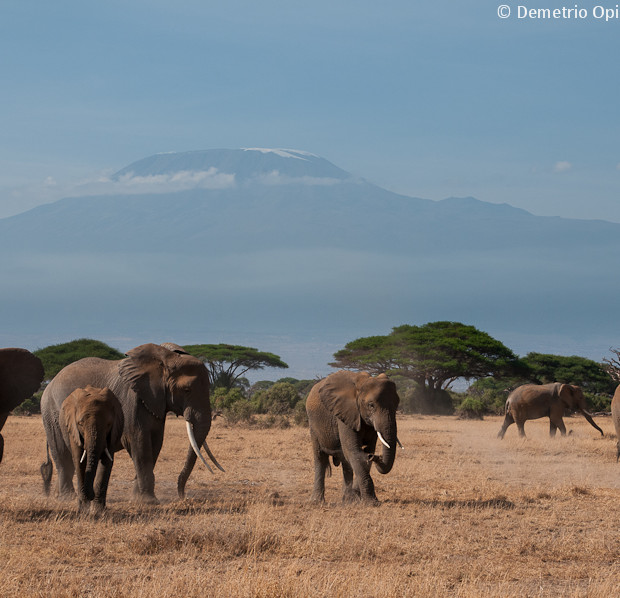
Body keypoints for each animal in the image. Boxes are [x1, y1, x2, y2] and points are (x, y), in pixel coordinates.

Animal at [40, 342, 223, 506]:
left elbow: (155, 444)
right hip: (51, 412)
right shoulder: (131, 400)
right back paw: (67, 498)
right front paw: (149, 502)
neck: (165, 359)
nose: (183, 496)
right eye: (186, 390)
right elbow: (140, 443)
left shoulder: (155, 402)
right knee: (63, 456)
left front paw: (137, 498)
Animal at [306, 370, 402, 506]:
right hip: (313, 425)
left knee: (345, 462)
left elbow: (363, 452)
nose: (375, 456)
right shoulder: (345, 414)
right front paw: (372, 503)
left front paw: (356, 498)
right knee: (320, 458)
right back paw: (317, 501)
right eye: (371, 405)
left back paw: (347, 499)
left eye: (397, 404)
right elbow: (355, 452)